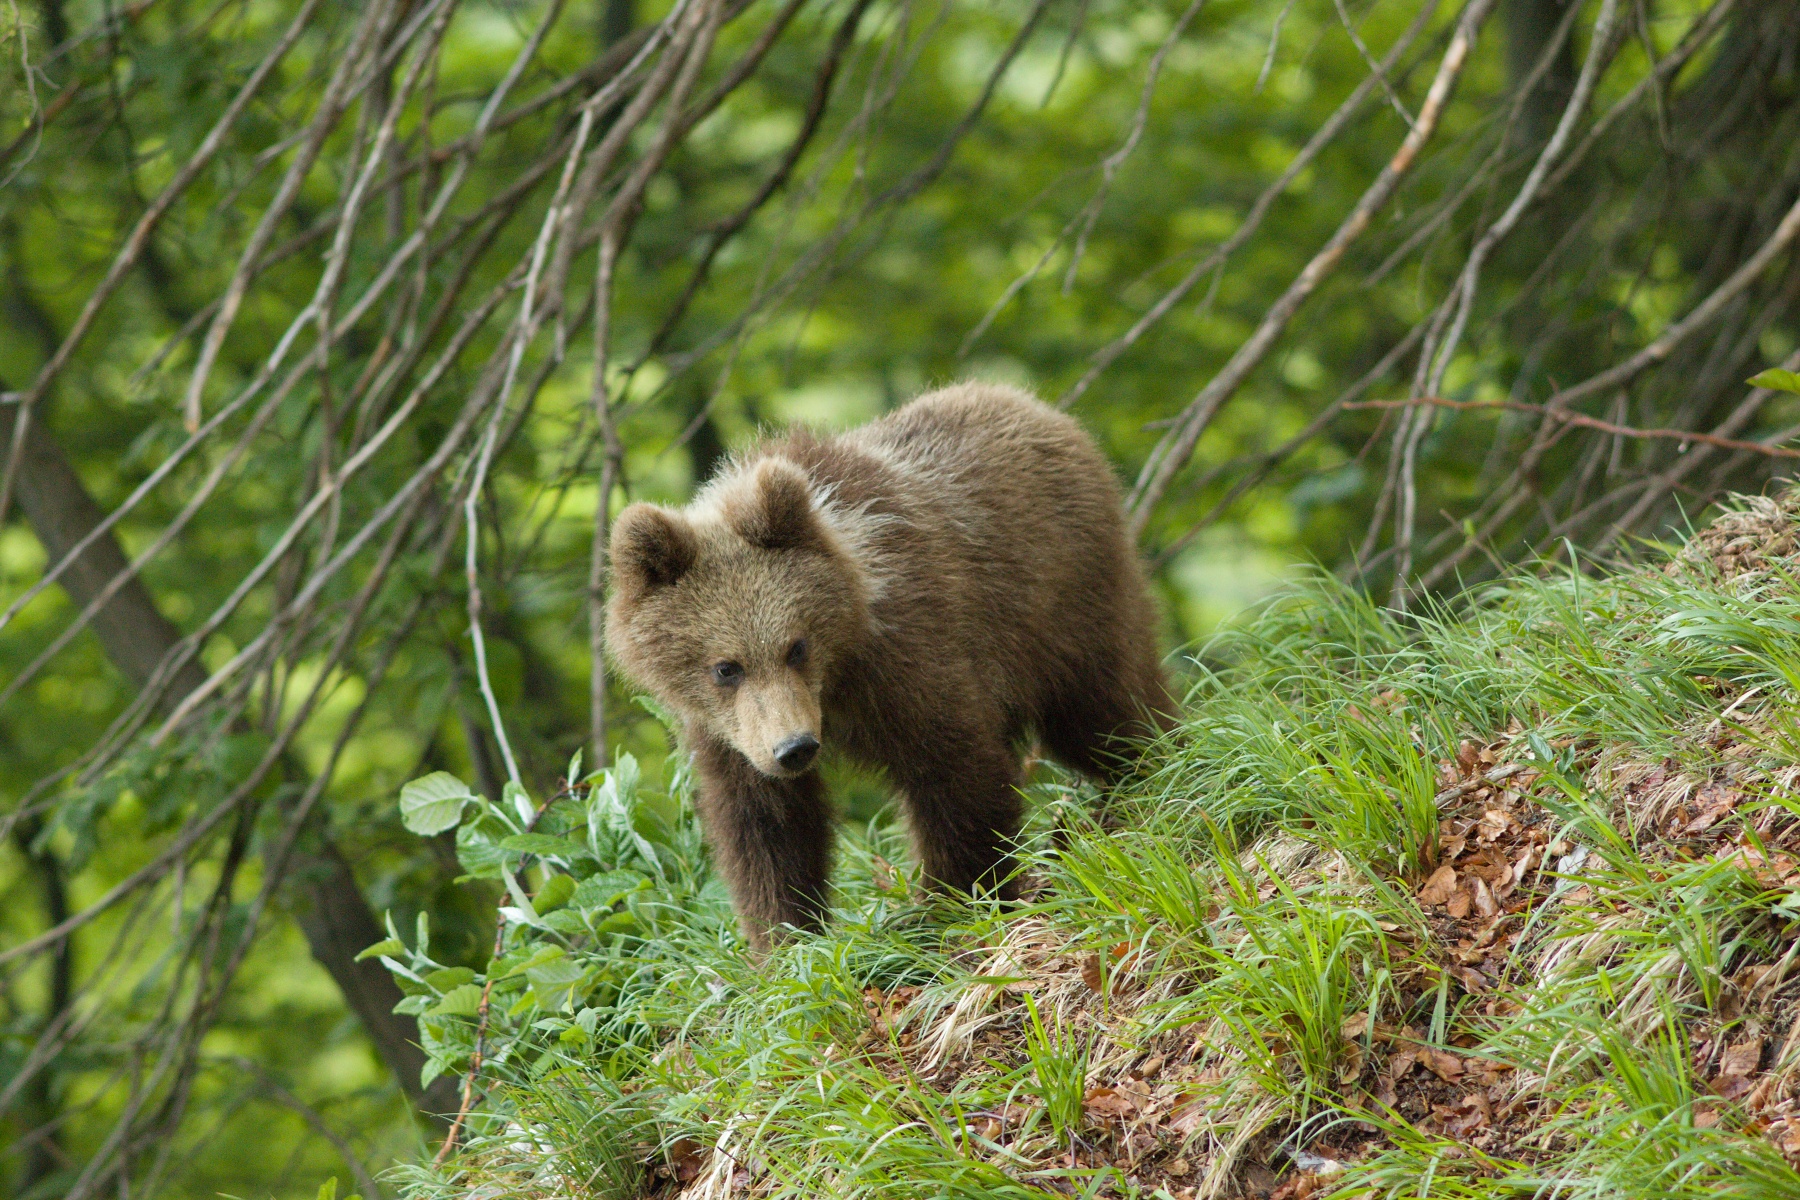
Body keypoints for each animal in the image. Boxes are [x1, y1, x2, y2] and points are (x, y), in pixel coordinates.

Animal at [604, 383, 1173, 949]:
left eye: (796, 646)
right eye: (726, 667)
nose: (795, 748)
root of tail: (1029, 402)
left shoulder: (911, 658)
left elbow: (956, 773)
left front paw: (953, 903)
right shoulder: (730, 735)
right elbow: (768, 828)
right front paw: (784, 938)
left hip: (1064, 599)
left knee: (1103, 707)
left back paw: (1147, 773)